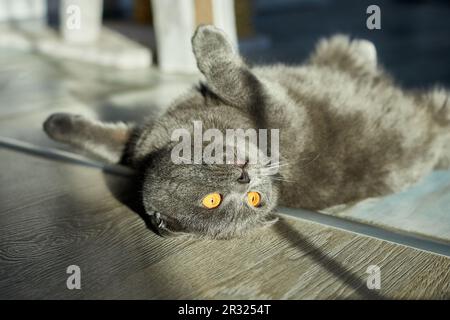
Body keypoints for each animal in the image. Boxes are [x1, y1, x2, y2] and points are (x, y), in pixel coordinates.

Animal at [43, 26, 450, 239]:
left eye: (253, 198)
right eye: (214, 200)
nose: (245, 177)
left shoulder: (140, 143)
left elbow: (106, 142)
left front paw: (56, 124)